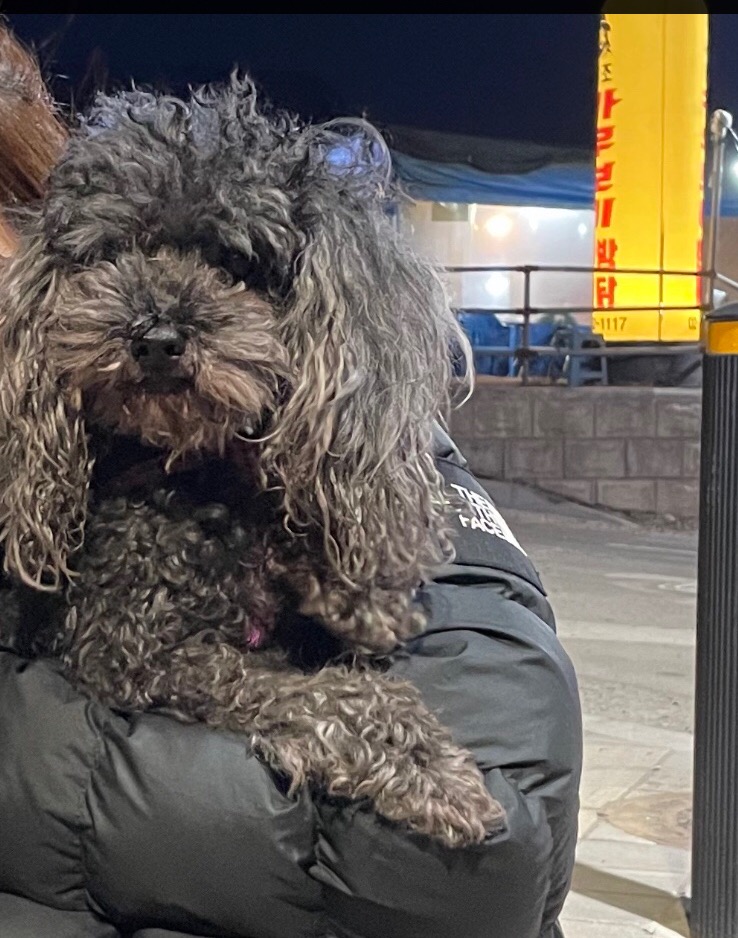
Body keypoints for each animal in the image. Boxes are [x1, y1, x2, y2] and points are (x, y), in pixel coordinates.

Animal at [0, 69, 504, 847]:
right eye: (114, 253)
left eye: (236, 264)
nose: (156, 338)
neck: (193, 472)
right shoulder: (134, 651)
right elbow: (308, 696)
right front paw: (421, 764)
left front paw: (364, 595)